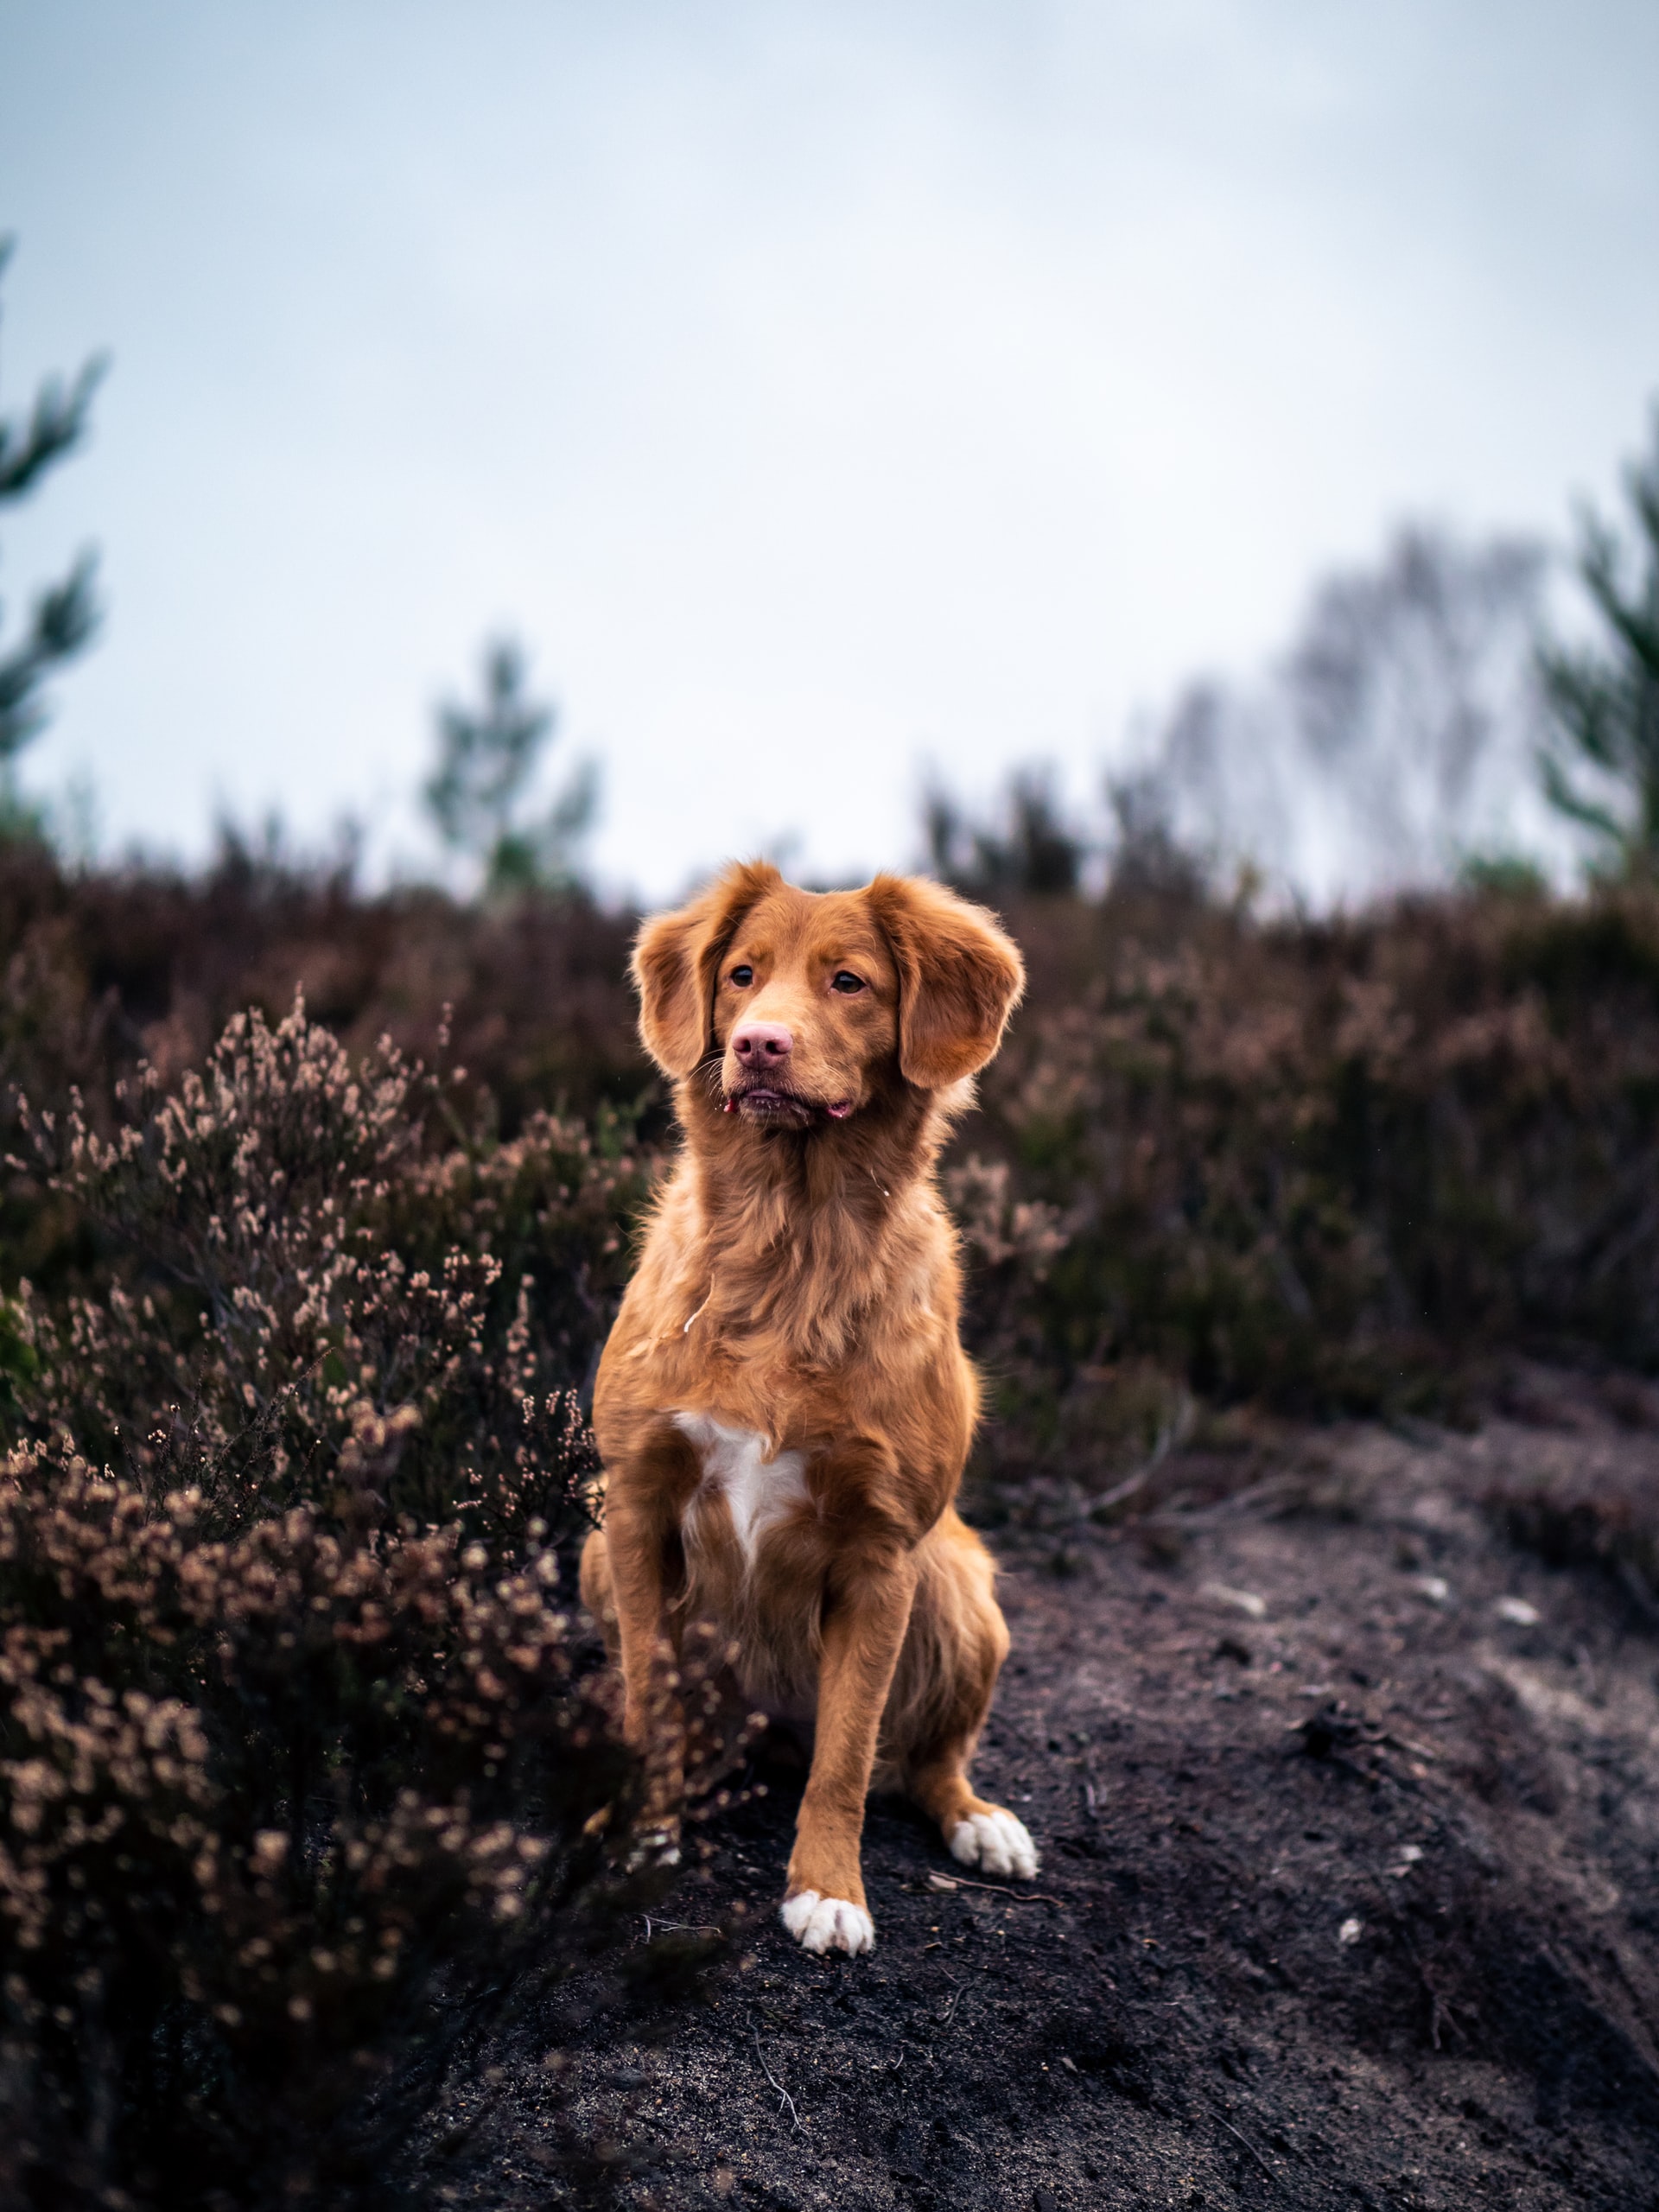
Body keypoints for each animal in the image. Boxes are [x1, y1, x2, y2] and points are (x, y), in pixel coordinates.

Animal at [579, 862, 1035, 1955]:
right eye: (741, 975)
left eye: (850, 981)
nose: (758, 1044)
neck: (791, 1250)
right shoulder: (636, 1505)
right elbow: (646, 1696)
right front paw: (641, 1834)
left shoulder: (882, 1553)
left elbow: (848, 1754)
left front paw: (828, 1888)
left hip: (963, 1588)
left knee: (924, 1761)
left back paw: (981, 1823)